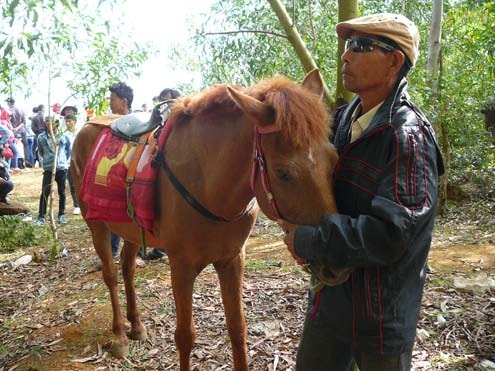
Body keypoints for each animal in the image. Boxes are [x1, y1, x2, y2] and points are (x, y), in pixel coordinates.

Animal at [71, 69, 344, 370]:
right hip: (96, 224)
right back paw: (120, 334)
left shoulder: (233, 260)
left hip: (130, 228)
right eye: (283, 173)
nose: (336, 263)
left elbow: (237, 328)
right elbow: (185, 336)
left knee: (127, 268)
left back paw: (137, 325)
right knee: (110, 275)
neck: (207, 183)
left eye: (334, 159)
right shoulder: (181, 267)